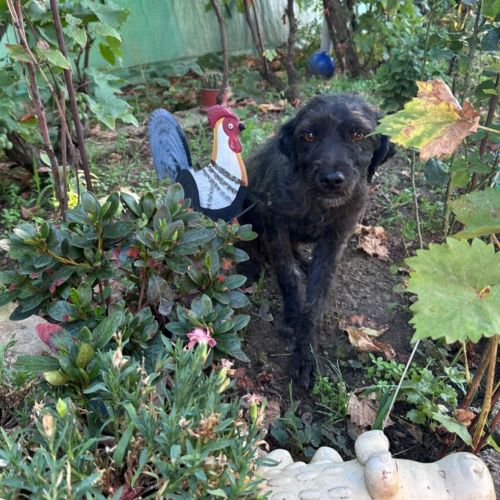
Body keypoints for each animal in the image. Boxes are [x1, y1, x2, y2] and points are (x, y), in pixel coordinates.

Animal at [239, 94, 394, 388]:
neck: (315, 202)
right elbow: (287, 274)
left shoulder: (335, 239)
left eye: (358, 134)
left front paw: (306, 355)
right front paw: (292, 313)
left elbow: (315, 300)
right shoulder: (275, 224)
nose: (332, 180)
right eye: (309, 135)